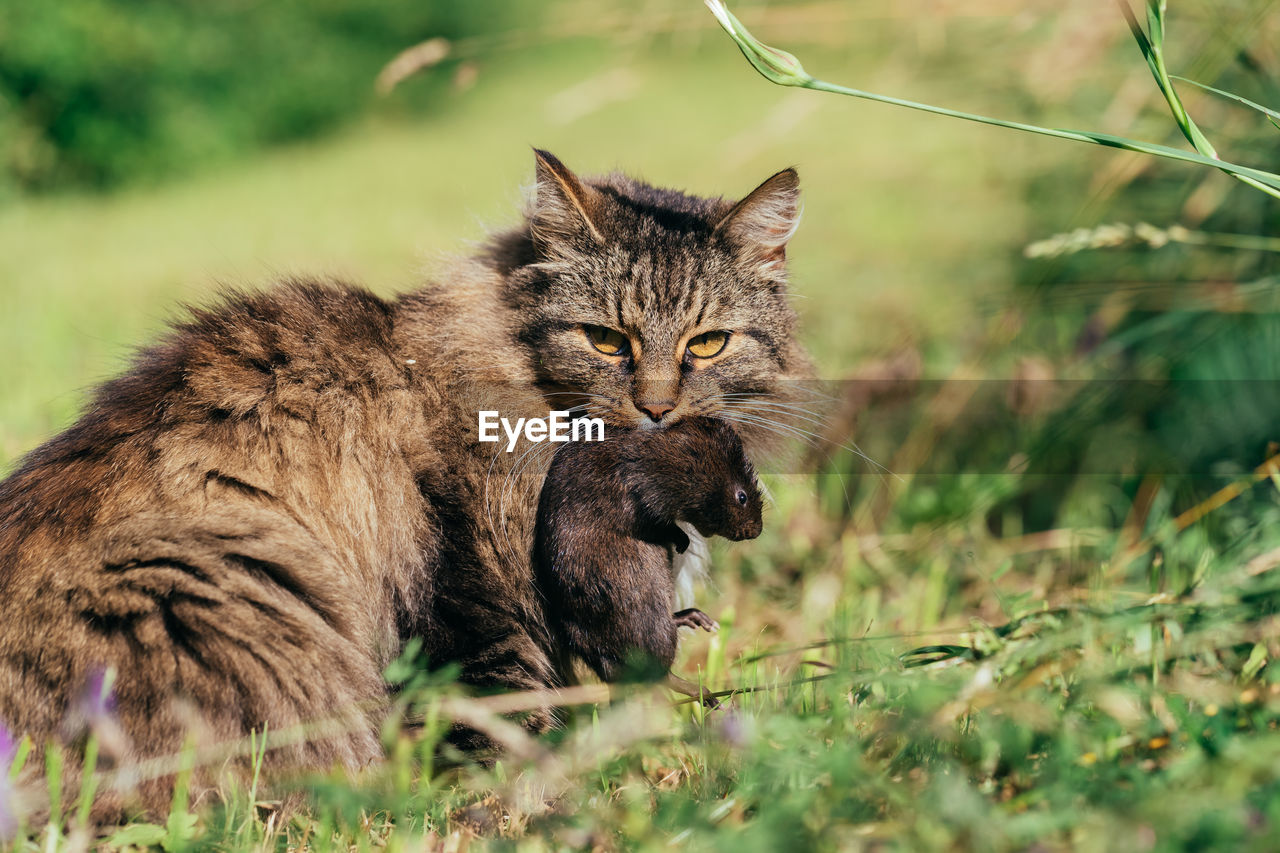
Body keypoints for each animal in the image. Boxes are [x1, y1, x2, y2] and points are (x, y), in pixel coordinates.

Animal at [0, 149, 803, 814]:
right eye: (606, 340)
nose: (658, 408)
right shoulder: (464, 591)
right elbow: (499, 716)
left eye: (708, 343)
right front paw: (521, 802)